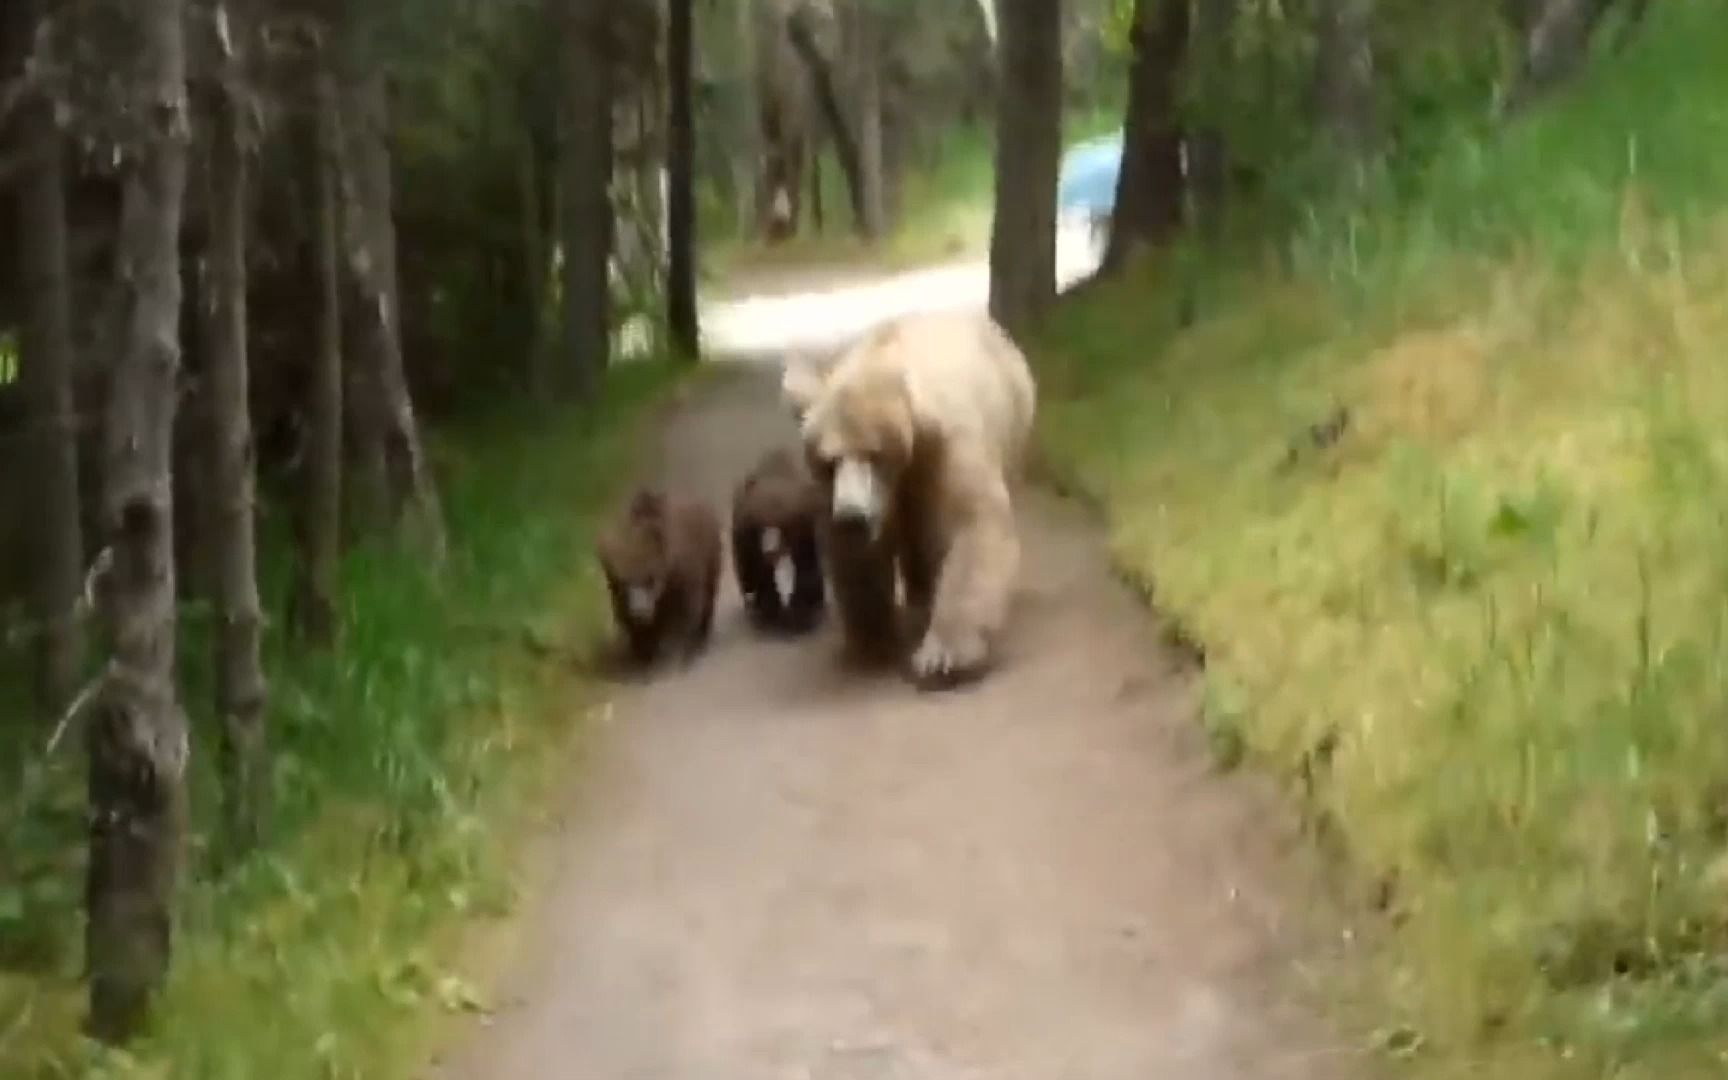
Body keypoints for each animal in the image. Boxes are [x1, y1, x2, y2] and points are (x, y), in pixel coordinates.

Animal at [601, 487, 722, 667]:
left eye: (649, 578)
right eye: (624, 582)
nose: (640, 612)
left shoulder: (684, 577)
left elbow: (688, 612)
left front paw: (683, 651)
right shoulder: (621, 596)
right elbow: (629, 620)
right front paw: (644, 651)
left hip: (711, 556)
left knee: (709, 595)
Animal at [729, 445, 829, 632]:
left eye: (785, 523)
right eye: (758, 521)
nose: (770, 549)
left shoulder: (804, 529)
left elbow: (806, 566)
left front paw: (801, 610)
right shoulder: (748, 533)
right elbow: (757, 568)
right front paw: (768, 606)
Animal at [784, 307, 1036, 687]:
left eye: (873, 455)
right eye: (829, 461)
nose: (853, 516)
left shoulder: (949, 446)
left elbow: (972, 524)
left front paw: (945, 656)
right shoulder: (836, 494)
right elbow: (857, 554)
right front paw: (873, 643)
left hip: (1013, 424)